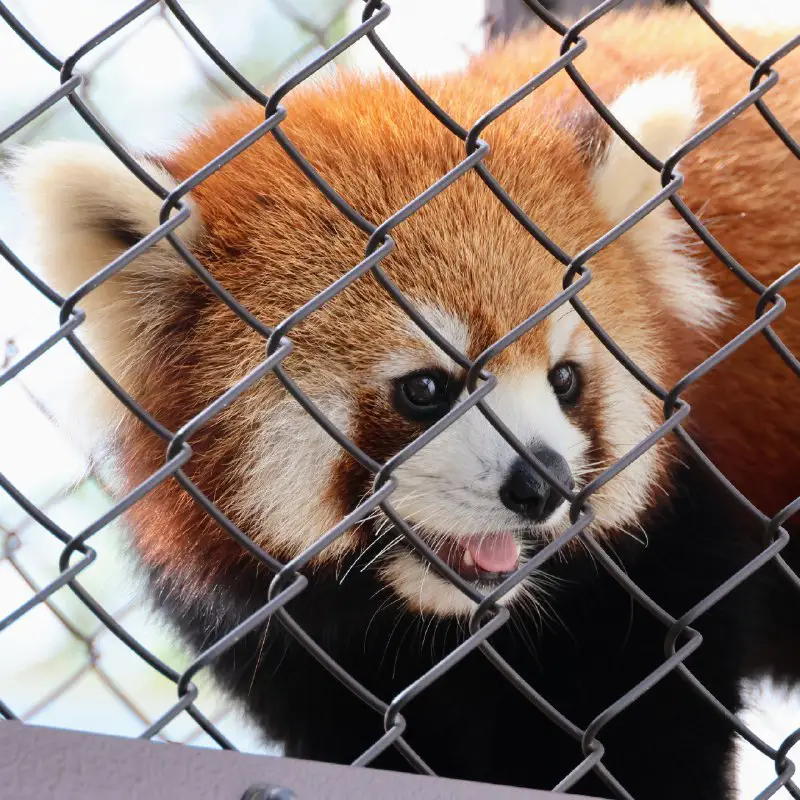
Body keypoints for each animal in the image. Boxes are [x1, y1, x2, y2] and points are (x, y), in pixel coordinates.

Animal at [12, 7, 800, 800]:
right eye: (425, 389)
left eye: (565, 380)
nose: (543, 483)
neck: (426, 624)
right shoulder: (290, 650)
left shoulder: (662, 569)